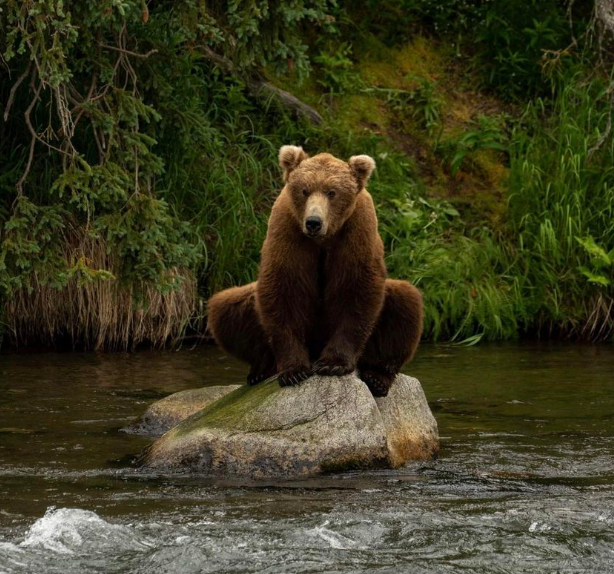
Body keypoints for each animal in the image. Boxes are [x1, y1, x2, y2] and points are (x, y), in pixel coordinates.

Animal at [207, 146, 424, 398]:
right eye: (304, 190)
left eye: (332, 192)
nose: (313, 222)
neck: (323, 239)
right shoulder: (288, 230)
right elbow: (283, 289)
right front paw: (294, 370)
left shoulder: (356, 231)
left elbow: (357, 290)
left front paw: (332, 364)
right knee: (226, 307)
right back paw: (262, 369)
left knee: (405, 302)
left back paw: (377, 377)